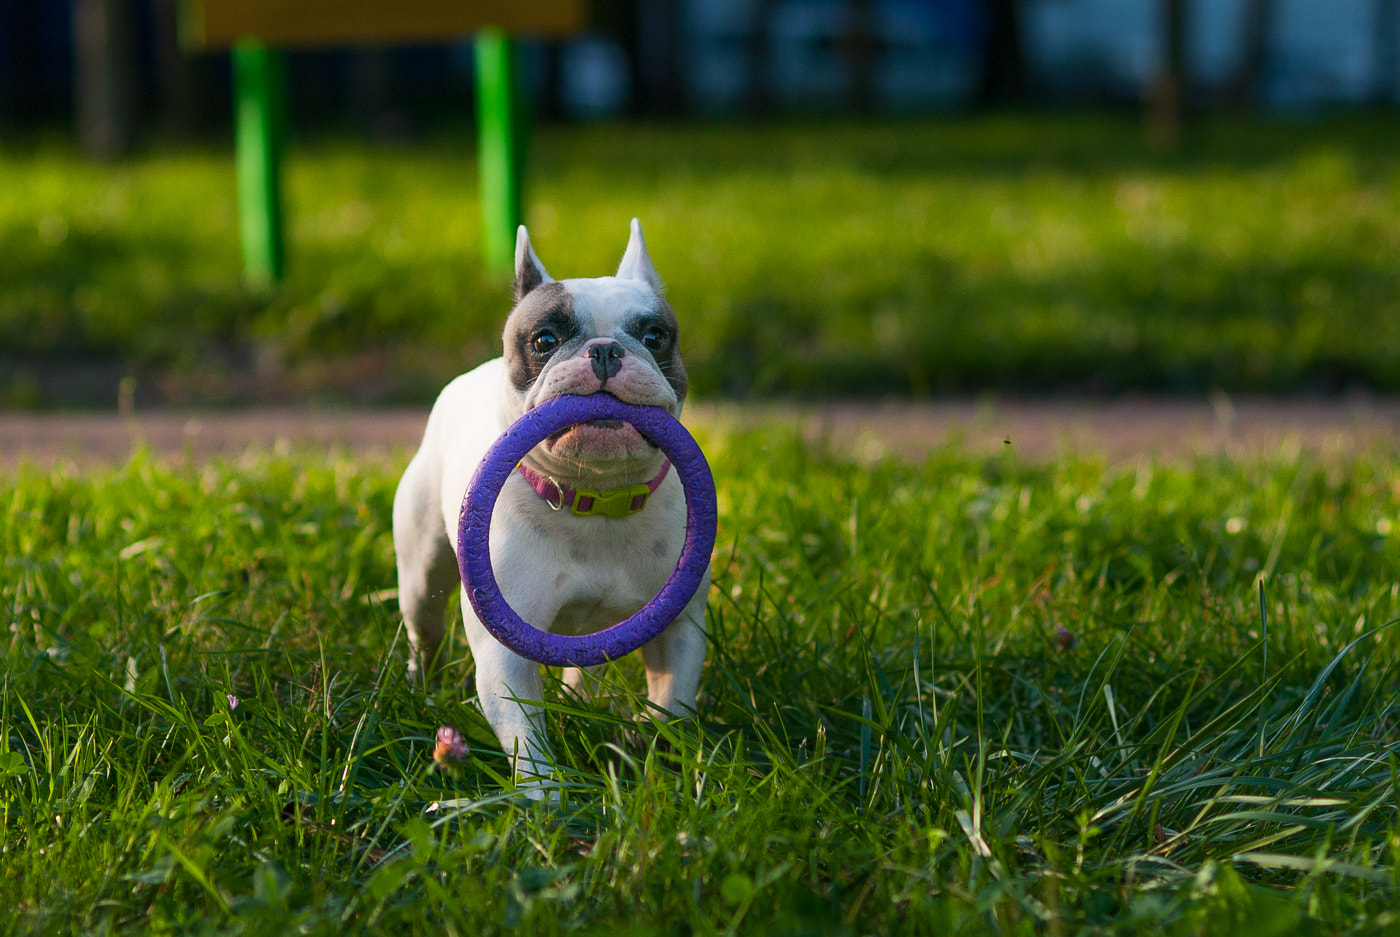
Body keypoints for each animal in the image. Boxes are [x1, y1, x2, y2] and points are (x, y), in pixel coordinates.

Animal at [394, 217, 711, 784]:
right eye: (545, 340)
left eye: (655, 336)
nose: (605, 349)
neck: (597, 499)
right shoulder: (505, 655)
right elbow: (526, 734)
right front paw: (543, 795)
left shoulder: (679, 627)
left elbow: (673, 697)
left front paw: (661, 755)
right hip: (421, 575)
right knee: (423, 631)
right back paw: (420, 690)